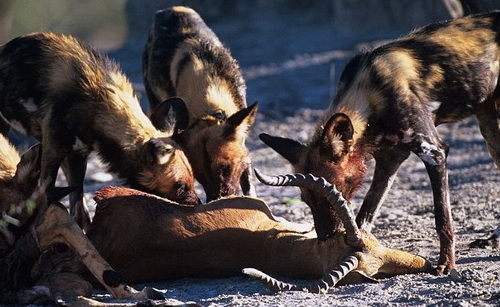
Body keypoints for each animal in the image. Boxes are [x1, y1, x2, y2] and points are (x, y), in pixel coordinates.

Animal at [0, 32, 199, 230]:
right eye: (180, 187)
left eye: (192, 181)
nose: (198, 203)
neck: (98, 101)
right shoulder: (53, 153)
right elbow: (46, 200)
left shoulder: (77, 157)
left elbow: (79, 212)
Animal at [260, 12, 500, 276]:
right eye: (306, 200)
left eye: (330, 195)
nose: (324, 236)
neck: (370, 98)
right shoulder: (389, 161)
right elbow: (365, 216)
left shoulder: (434, 153)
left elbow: (442, 218)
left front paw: (446, 263)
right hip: (488, 126)